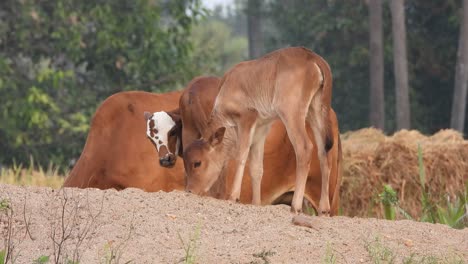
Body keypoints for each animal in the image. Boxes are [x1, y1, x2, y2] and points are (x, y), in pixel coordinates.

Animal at [182, 47, 332, 214]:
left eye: (197, 163)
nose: (190, 191)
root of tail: (311, 56)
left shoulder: (247, 119)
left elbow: (241, 156)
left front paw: (233, 196)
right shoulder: (261, 129)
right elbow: (256, 168)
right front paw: (256, 203)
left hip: (291, 113)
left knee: (304, 148)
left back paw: (296, 205)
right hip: (316, 111)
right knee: (323, 152)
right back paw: (324, 208)